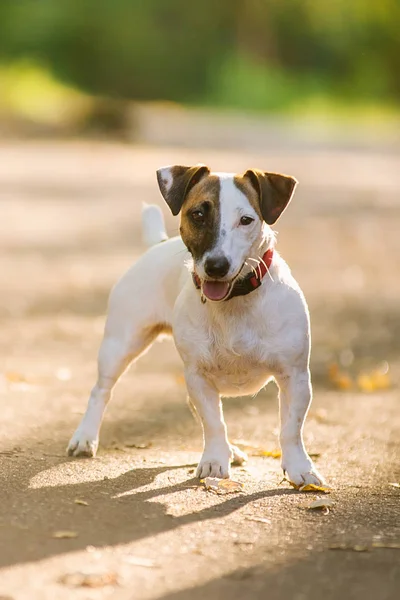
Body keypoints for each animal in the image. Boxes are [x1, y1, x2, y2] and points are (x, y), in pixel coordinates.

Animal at [68, 164, 324, 488]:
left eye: (246, 220)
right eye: (198, 214)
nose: (216, 266)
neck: (234, 302)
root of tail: (159, 244)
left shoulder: (295, 376)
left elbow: (291, 428)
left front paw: (300, 468)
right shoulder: (198, 376)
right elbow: (213, 423)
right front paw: (214, 461)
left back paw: (231, 449)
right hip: (121, 344)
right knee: (101, 391)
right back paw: (85, 437)